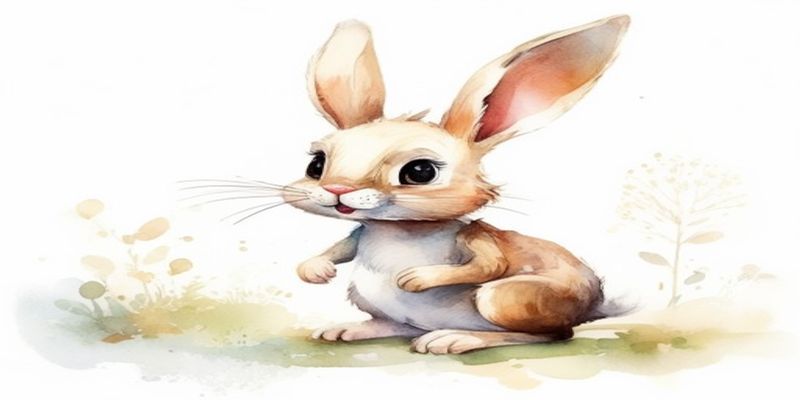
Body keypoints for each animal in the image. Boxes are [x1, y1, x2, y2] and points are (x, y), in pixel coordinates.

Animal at [283, 15, 630, 354]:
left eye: (420, 172)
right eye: (316, 165)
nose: (338, 191)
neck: (398, 229)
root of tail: (594, 303)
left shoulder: (476, 238)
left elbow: (491, 265)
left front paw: (414, 279)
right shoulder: (360, 233)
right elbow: (341, 247)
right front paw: (315, 271)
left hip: (504, 299)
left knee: (552, 334)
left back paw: (454, 339)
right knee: (401, 325)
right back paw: (348, 330)